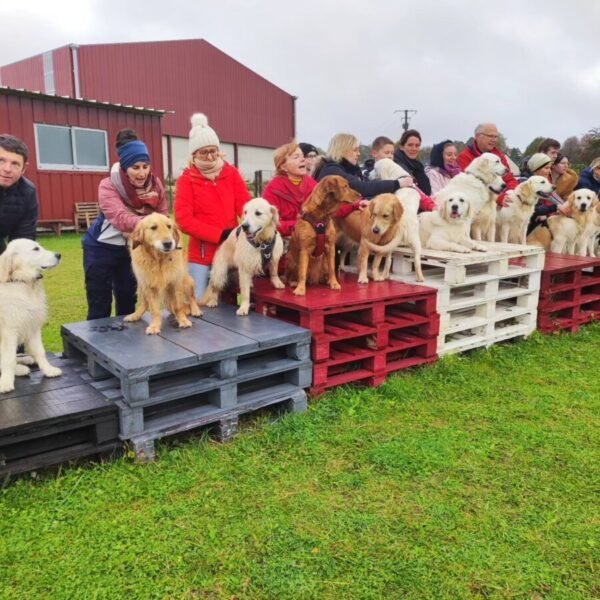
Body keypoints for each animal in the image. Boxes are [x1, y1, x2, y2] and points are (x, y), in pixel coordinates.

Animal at [0, 239, 62, 394]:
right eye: (36, 249)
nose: (59, 255)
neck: (23, 282)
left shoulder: (33, 326)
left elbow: (40, 351)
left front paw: (48, 370)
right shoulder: (9, 331)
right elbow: (8, 359)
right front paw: (6, 382)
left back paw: (25, 359)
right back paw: (20, 369)